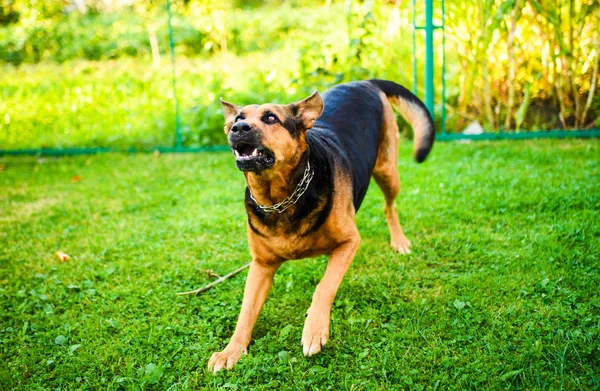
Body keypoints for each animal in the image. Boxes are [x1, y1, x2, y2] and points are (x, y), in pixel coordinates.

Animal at [209, 79, 434, 374]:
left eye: (270, 118)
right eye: (237, 118)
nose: (238, 129)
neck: (280, 199)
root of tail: (364, 81)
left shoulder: (349, 242)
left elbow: (324, 286)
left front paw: (314, 329)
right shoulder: (261, 266)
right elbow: (245, 312)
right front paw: (231, 350)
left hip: (387, 170)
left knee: (389, 207)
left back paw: (399, 240)